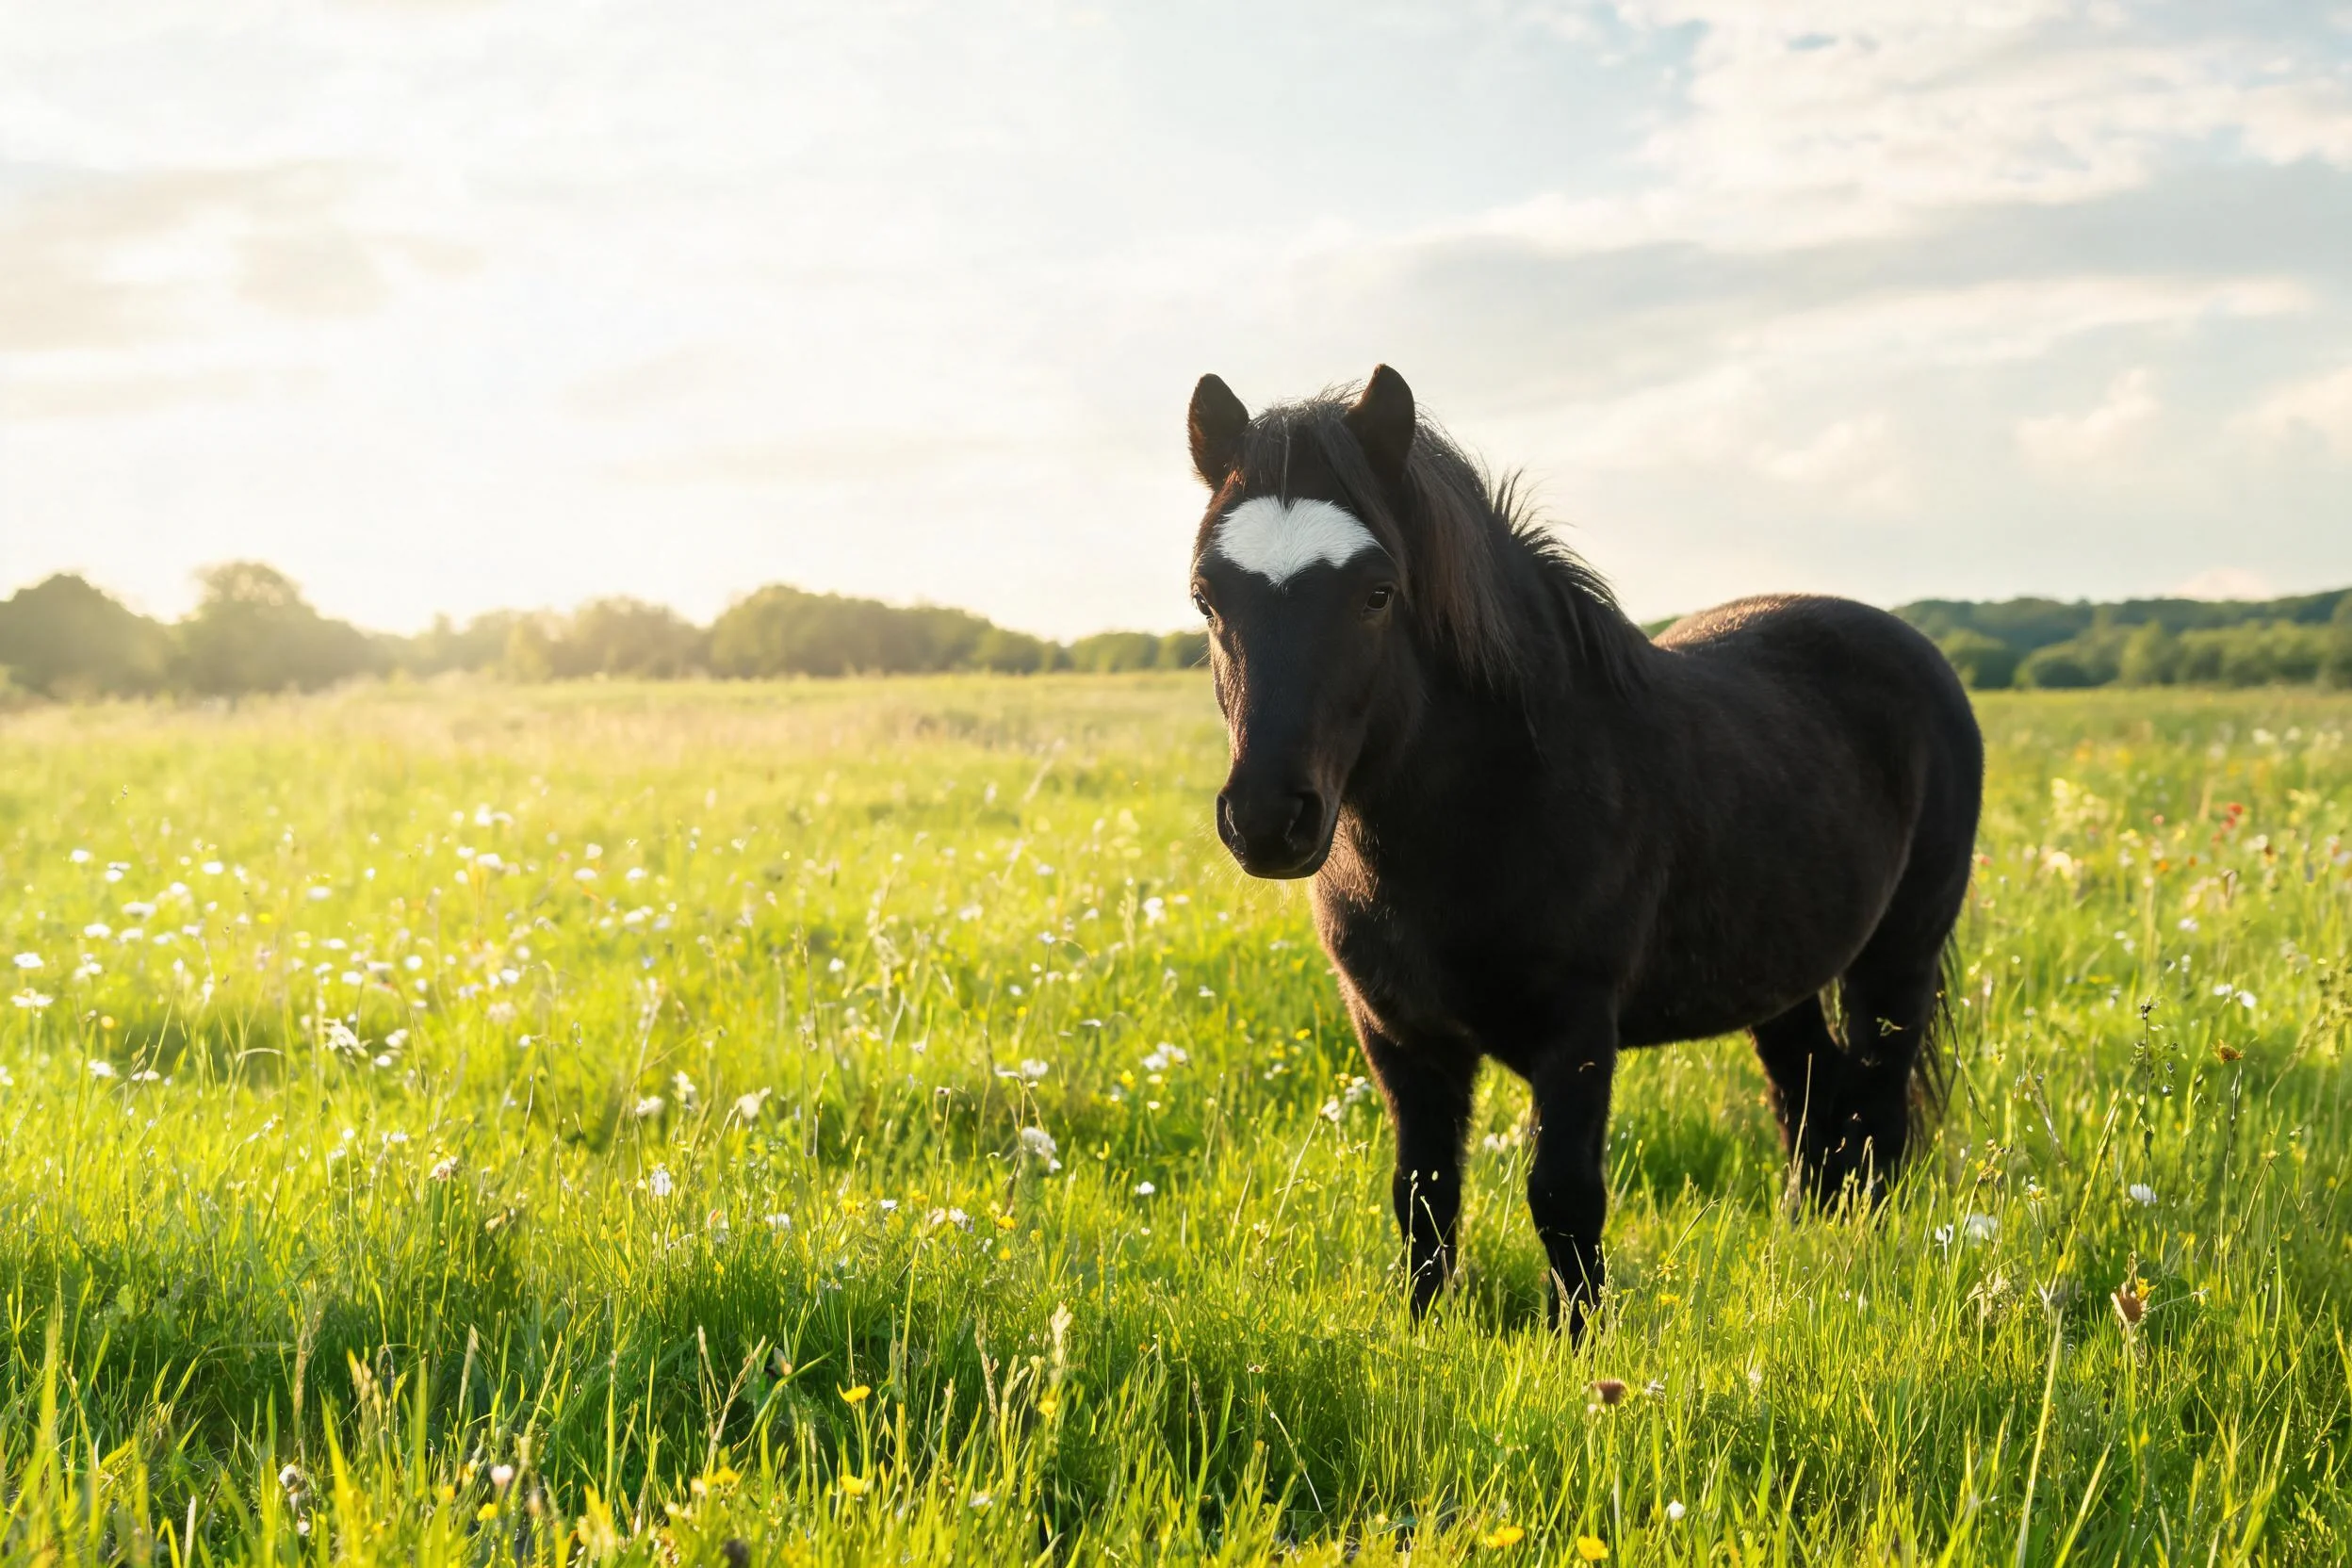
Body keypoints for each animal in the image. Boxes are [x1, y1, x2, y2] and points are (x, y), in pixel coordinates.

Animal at [1184, 365, 1983, 1335]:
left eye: (1376, 592)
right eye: (1207, 596)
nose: (1267, 819)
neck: (1493, 805)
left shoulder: (1576, 1030)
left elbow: (1563, 1197)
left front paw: (1582, 1343)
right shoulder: (1397, 1036)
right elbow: (1422, 1194)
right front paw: (1422, 1332)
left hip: (1897, 959)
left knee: (1876, 1108)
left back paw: (1863, 1257)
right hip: (1781, 977)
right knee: (1810, 1100)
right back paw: (1806, 1244)